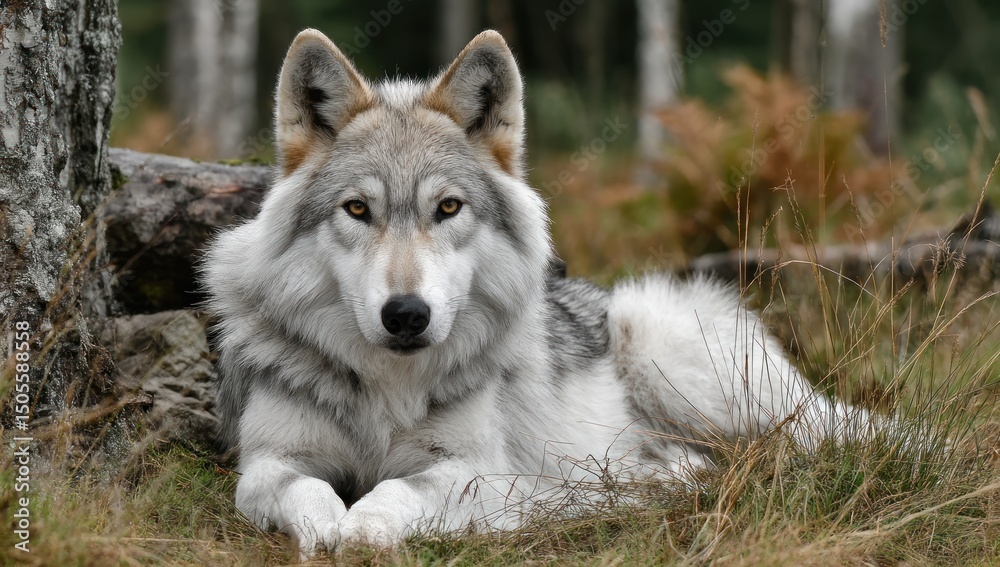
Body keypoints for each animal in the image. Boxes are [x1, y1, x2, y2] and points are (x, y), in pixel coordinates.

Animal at [204, 29, 861, 556]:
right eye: (358, 209)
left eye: (448, 208)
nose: (407, 315)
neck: (390, 390)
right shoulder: (268, 463)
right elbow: (307, 489)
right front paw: (327, 528)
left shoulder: (474, 470)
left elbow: (394, 490)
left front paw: (362, 528)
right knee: (691, 466)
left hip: (680, 366)